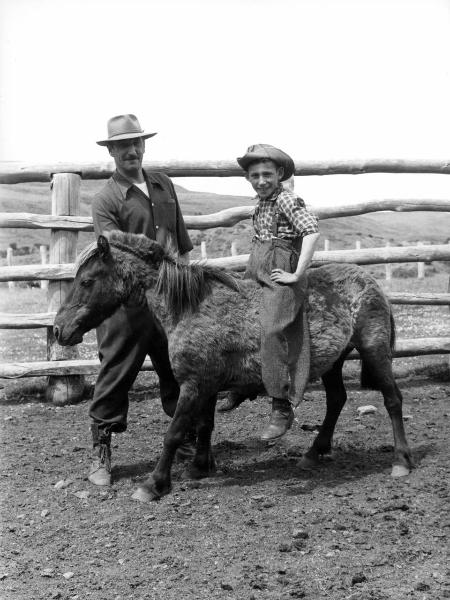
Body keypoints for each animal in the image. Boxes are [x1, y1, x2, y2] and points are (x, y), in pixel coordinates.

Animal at [52, 232, 412, 504]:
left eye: (87, 281)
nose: (58, 329)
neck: (192, 307)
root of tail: (370, 281)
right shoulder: (207, 385)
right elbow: (205, 426)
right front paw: (199, 467)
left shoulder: (193, 385)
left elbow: (174, 433)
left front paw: (153, 484)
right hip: (334, 363)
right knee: (337, 401)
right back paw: (313, 453)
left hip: (375, 352)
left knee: (393, 400)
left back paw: (401, 461)